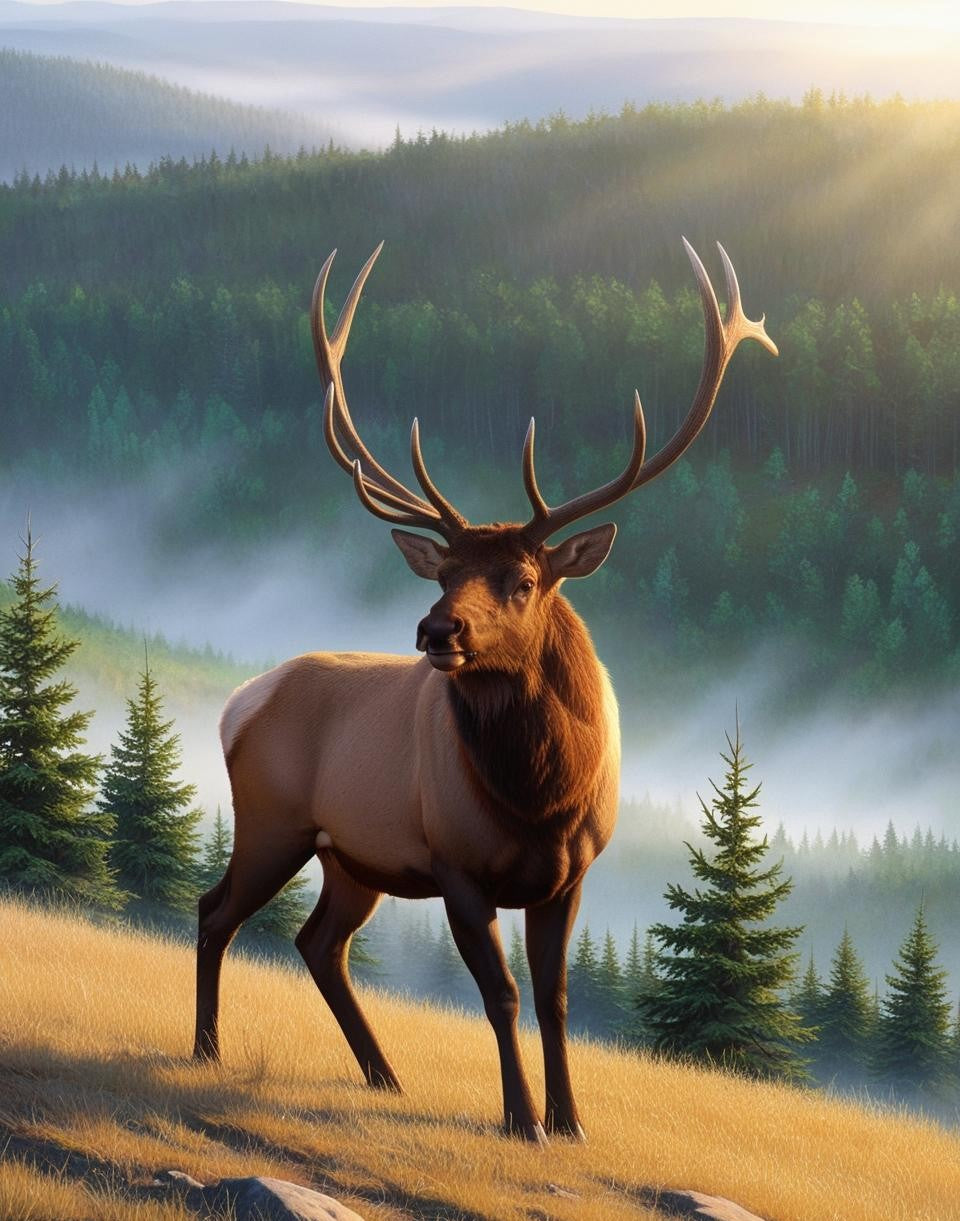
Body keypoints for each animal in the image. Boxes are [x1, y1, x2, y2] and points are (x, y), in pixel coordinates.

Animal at [193, 238, 777, 1143]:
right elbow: (500, 994)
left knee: (319, 942)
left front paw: (570, 1121)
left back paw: (385, 1075)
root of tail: (239, 703)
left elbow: (556, 997)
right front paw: (521, 1118)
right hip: (272, 821)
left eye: (524, 579)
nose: (438, 630)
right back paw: (210, 1048)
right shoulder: (458, 865)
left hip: (350, 854)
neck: (541, 799)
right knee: (215, 910)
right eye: (447, 572)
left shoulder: (572, 872)